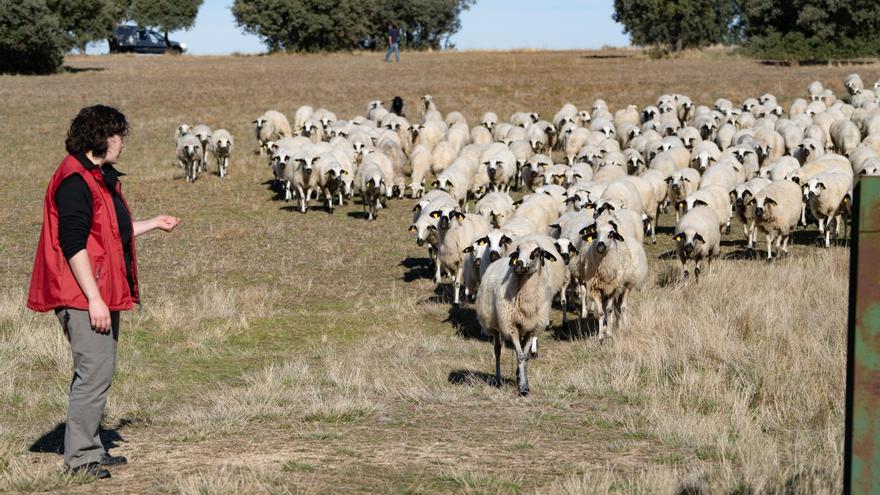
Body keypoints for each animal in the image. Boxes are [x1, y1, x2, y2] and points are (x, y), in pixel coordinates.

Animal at [478, 235, 560, 396]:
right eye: (517, 251)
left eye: (536, 252)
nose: (519, 265)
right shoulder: (511, 326)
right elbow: (521, 355)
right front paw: (522, 388)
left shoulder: (531, 328)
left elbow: (525, 356)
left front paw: (524, 383)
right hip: (494, 324)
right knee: (498, 350)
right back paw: (498, 380)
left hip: (523, 326)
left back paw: (517, 374)